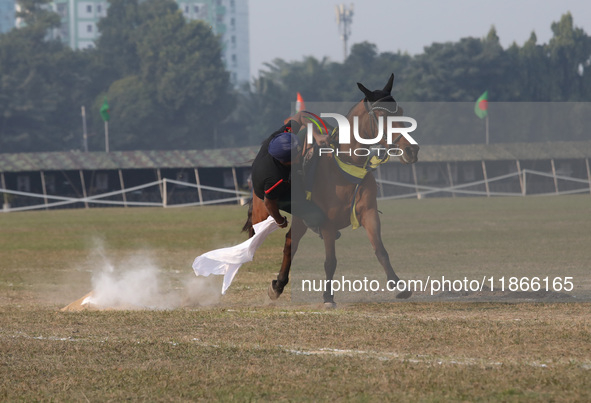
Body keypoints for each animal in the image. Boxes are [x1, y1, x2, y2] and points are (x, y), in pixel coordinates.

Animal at [243, 73, 418, 306]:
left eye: (400, 111)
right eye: (381, 116)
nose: (411, 150)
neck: (345, 166)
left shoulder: (369, 214)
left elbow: (381, 251)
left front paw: (398, 285)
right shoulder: (327, 222)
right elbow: (330, 261)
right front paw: (328, 296)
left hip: (301, 217)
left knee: (290, 241)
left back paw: (278, 284)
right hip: (264, 210)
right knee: (276, 236)